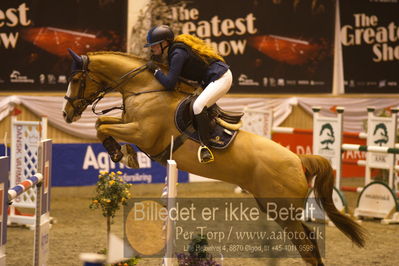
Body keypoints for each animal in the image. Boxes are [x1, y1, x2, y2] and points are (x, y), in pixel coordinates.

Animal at [61, 49, 366, 264]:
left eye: (75, 79)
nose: (66, 114)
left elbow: (103, 127)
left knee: (307, 247)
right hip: (275, 207)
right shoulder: (130, 124)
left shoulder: (142, 133)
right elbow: (102, 124)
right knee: (310, 242)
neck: (145, 89)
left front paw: (122, 154)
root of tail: (298, 161)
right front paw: (123, 153)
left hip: (283, 212)